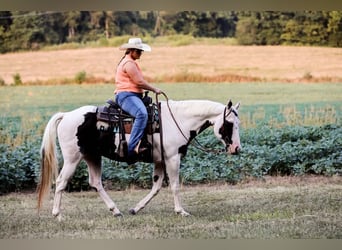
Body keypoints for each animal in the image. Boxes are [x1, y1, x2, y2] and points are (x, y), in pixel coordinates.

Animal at [36, 96, 240, 218]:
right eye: (229, 124)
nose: (237, 148)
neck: (177, 120)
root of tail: (66, 116)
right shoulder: (172, 158)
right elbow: (174, 185)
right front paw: (181, 211)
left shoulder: (160, 160)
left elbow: (156, 187)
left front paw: (136, 208)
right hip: (72, 158)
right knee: (61, 182)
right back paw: (57, 214)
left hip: (92, 156)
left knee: (95, 182)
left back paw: (116, 211)